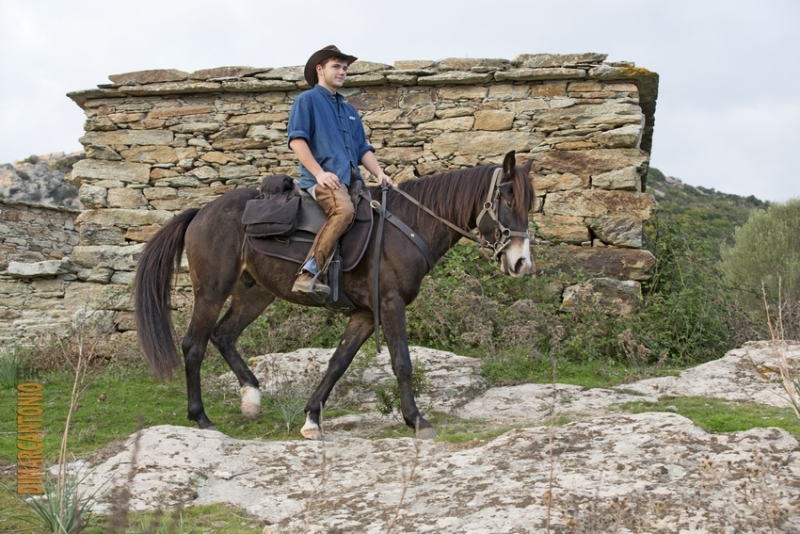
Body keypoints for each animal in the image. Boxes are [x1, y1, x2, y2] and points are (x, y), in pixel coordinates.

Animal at [134, 150, 536, 440]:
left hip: (254, 294)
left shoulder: (364, 314)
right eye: (507, 201)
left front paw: (312, 418)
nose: (521, 262)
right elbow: (402, 363)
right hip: (211, 292)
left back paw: (251, 397)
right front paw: (417, 420)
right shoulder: (390, 304)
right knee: (194, 345)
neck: (407, 226)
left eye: (529, 205)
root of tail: (201, 212)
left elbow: (338, 362)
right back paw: (201, 417)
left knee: (224, 335)